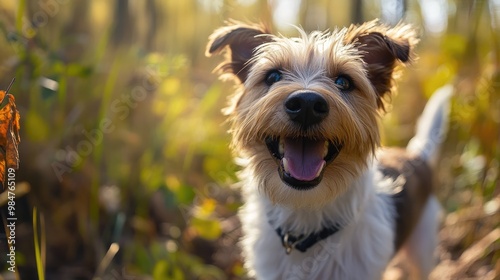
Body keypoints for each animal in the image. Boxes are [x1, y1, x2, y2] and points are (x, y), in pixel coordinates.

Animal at [206, 20, 450, 280]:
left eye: (343, 82)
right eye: (273, 76)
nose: (306, 104)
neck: (306, 210)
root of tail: (415, 155)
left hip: (422, 247)